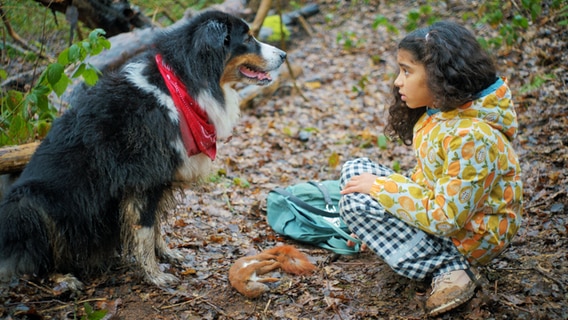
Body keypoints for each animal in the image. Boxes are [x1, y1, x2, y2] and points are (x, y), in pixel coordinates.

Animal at [0, 11, 284, 288]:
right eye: (246, 38)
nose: (284, 55)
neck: (180, 86)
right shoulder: (144, 177)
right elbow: (145, 228)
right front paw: (155, 275)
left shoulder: (160, 177)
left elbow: (155, 222)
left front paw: (166, 254)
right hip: (29, 205)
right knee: (33, 263)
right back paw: (62, 279)